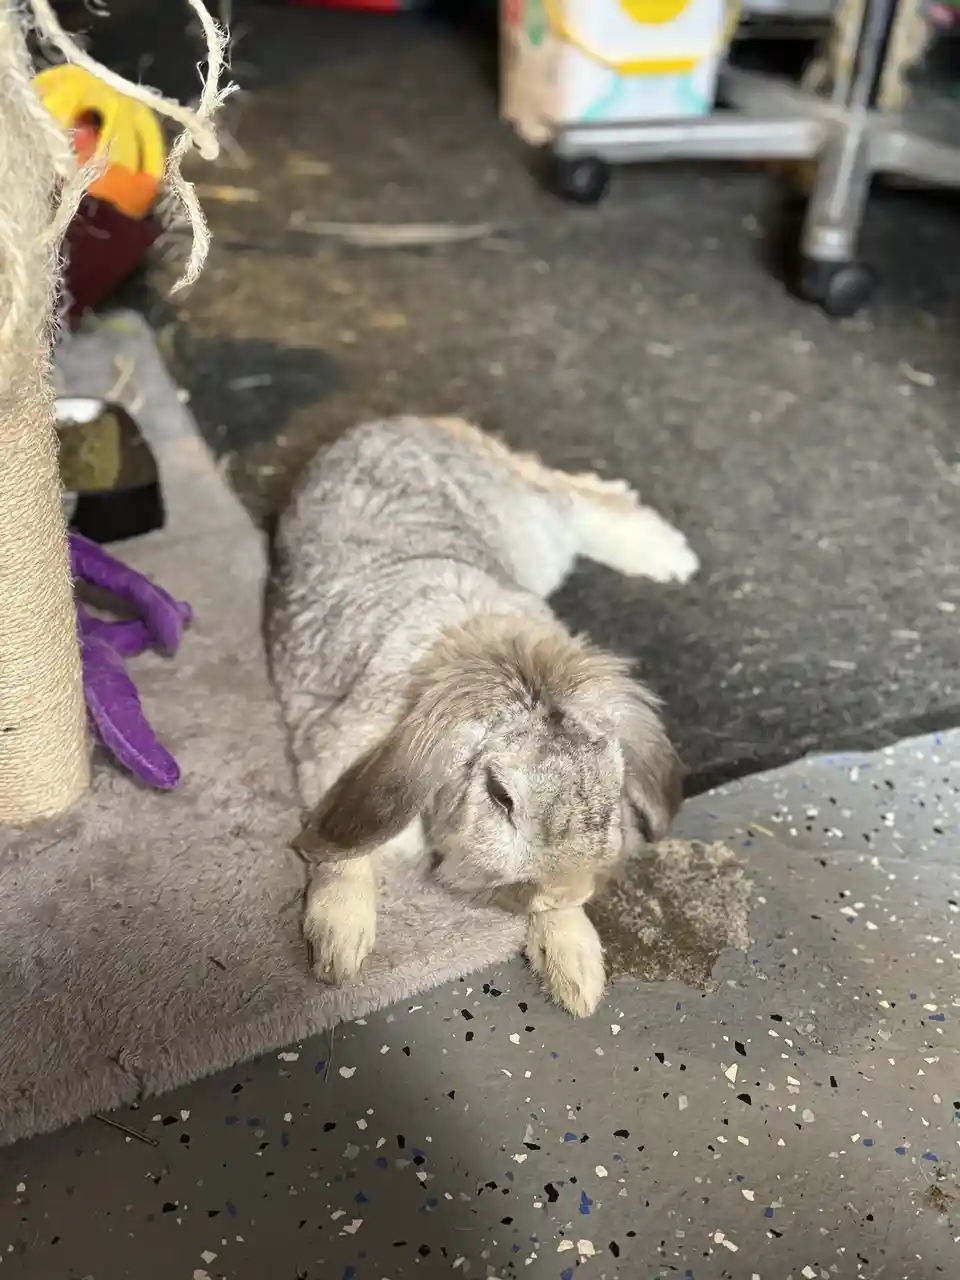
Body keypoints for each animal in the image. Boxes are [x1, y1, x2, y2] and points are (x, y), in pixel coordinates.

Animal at [269, 415, 698, 1017]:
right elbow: (346, 856)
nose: (567, 889)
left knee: (569, 490)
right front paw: (338, 952)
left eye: (614, 791)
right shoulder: (337, 769)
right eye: (500, 795)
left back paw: (665, 553)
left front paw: (576, 974)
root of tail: (403, 421)